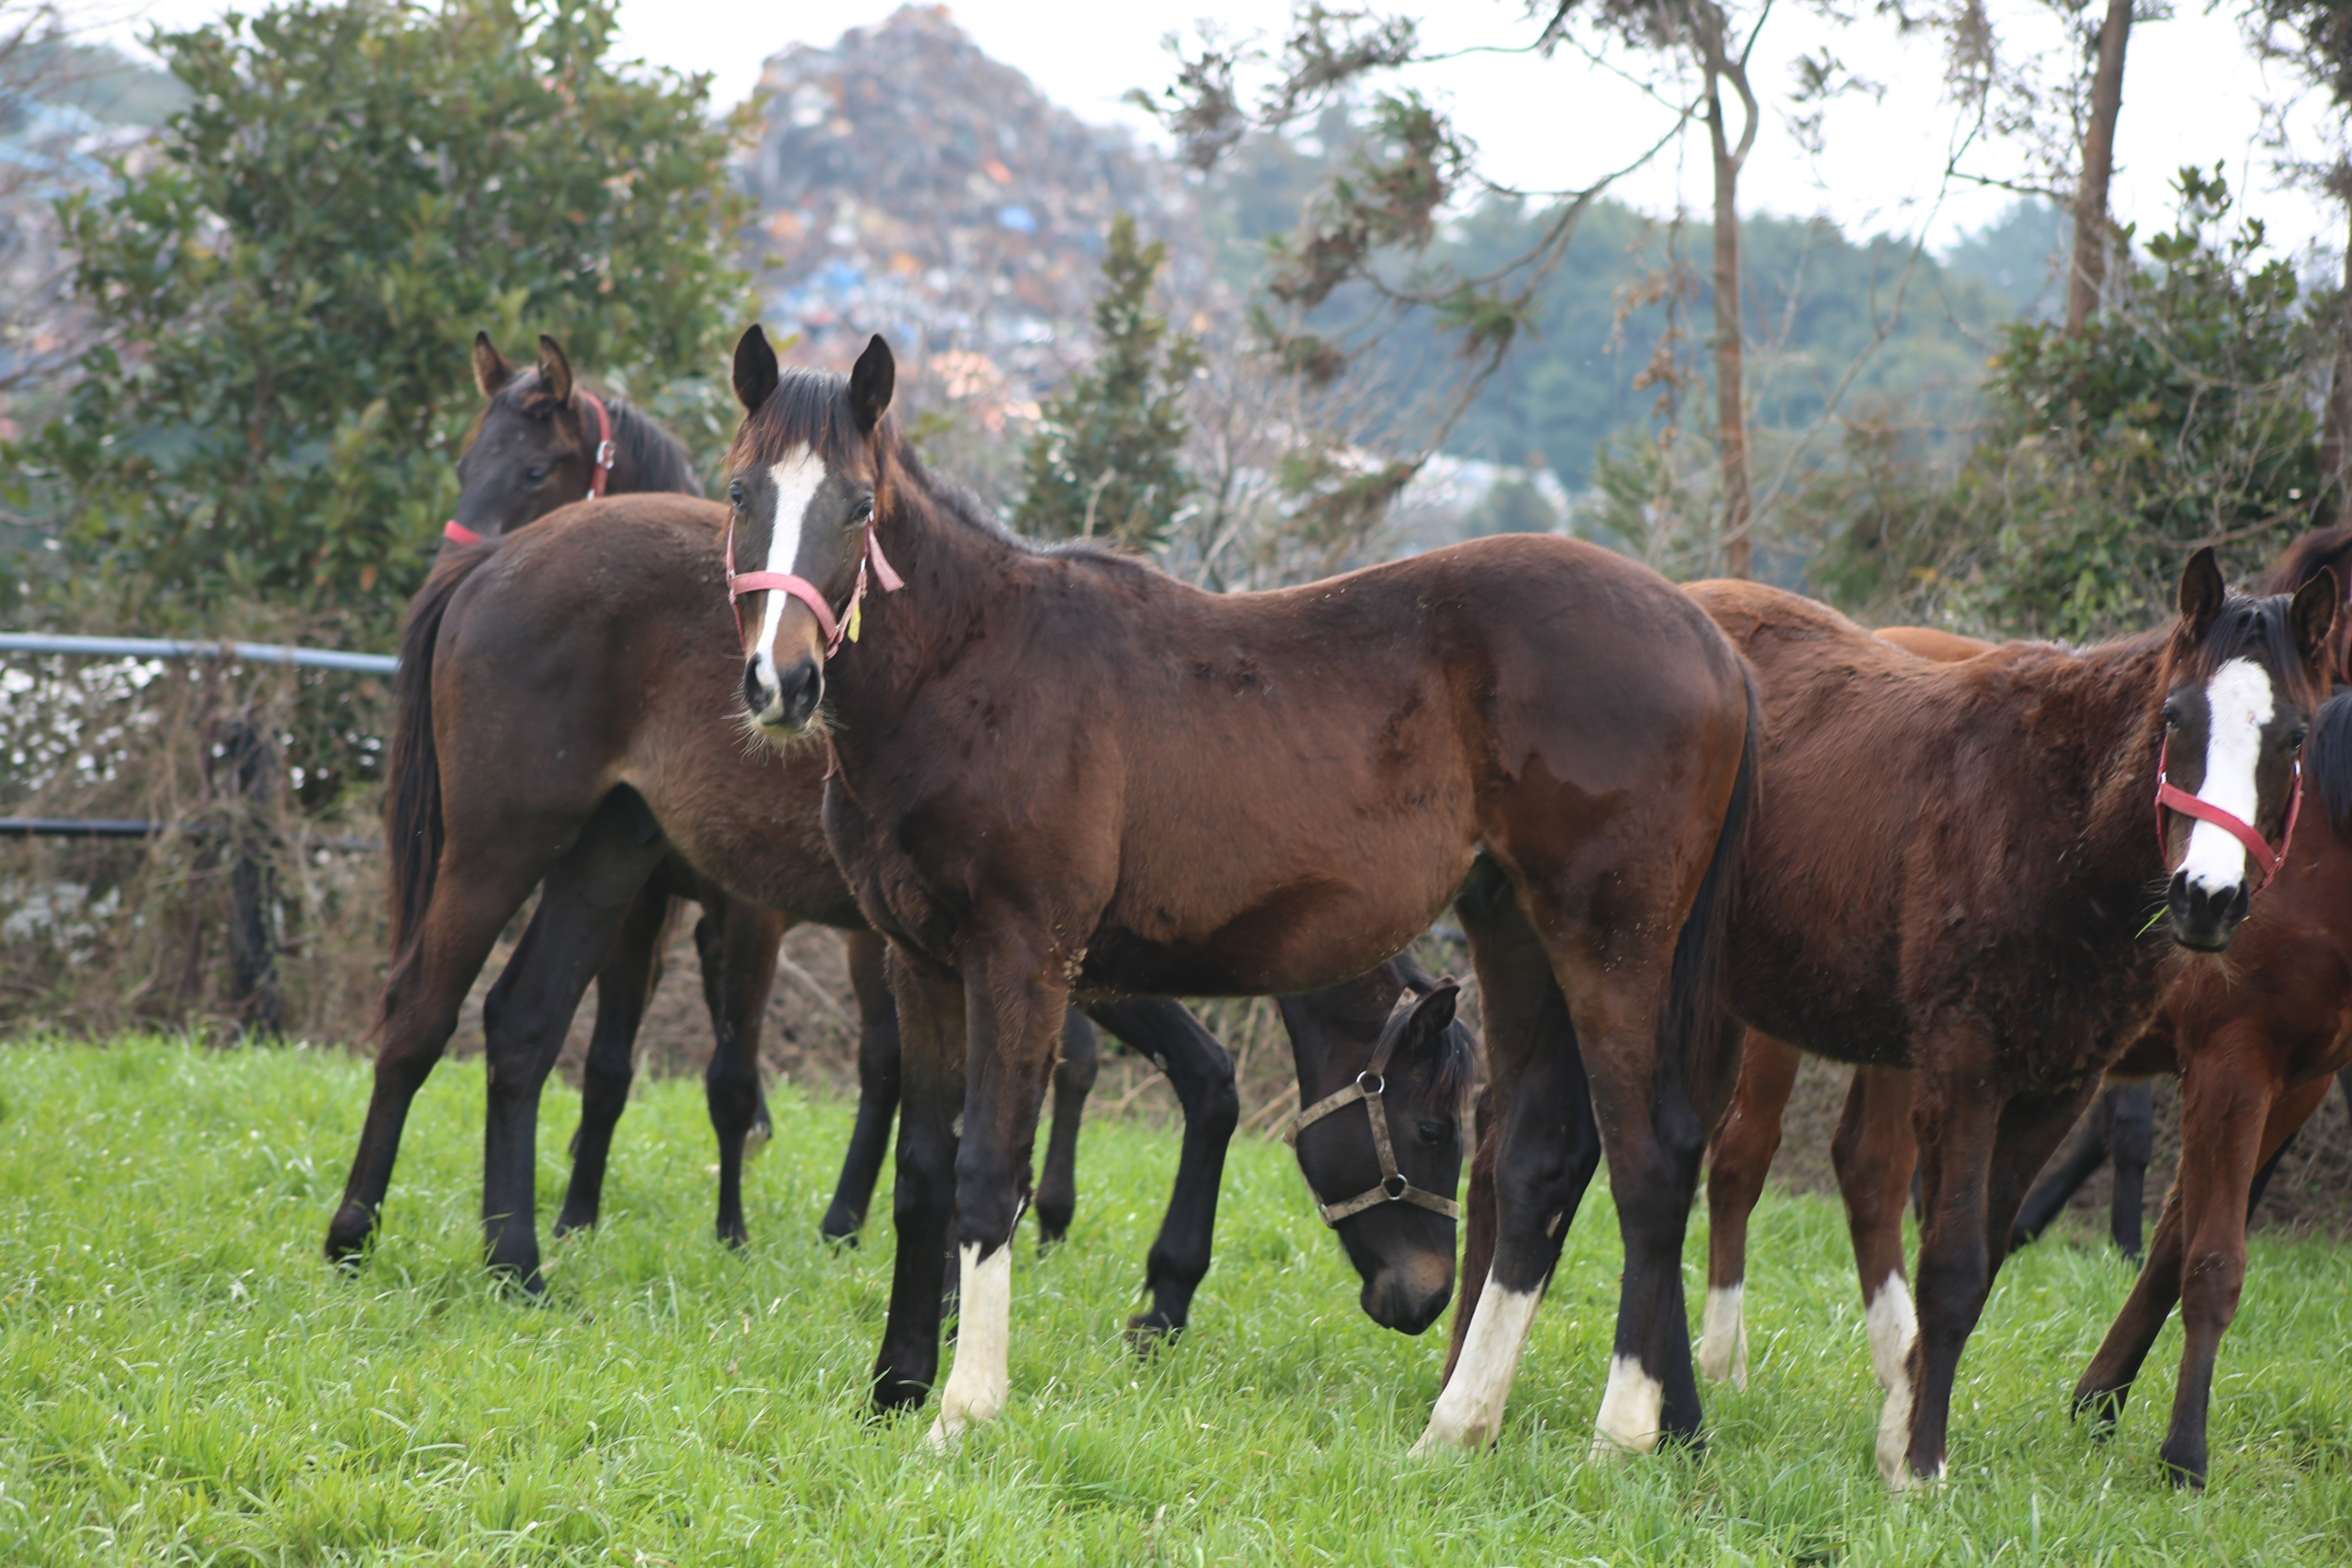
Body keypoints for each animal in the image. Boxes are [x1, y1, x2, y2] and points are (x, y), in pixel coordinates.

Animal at [327, 493, 1467, 1354]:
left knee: (521, 1027)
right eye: (1429, 1128)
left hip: (607, 857)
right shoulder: (1059, 966)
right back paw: (352, 1238)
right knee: (420, 1018)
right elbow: (1202, 1088)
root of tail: (505, 556)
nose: (1425, 1298)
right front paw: (1156, 1294)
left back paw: (516, 1264)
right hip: (502, 845)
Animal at [724, 331, 1759, 1457]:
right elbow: (921, 1174)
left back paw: (1624, 1428)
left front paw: (965, 1407)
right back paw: (1459, 1426)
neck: (971, 664)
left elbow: (987, 1173)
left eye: (859, 506)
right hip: (1518, 933)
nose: (780, 683)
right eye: (739, 492)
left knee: (1649, 1160)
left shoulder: (1022, 960)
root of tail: (1711, 639)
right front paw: (897, 1387)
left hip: (1611, 944)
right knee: (1541, 1161)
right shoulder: (921, 962)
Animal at [1449, 561, 2333, 1485]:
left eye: (2294, 737)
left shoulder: (2056, 1085)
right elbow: (1950, 1263)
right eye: (2175, 716)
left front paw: (1902, 1430)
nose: (2207, 897)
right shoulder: (1967, 1063)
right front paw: (1917, 1463)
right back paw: (1476, 1385)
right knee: (1529, 1145)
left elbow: (1982, 1260)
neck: (2051, 820)